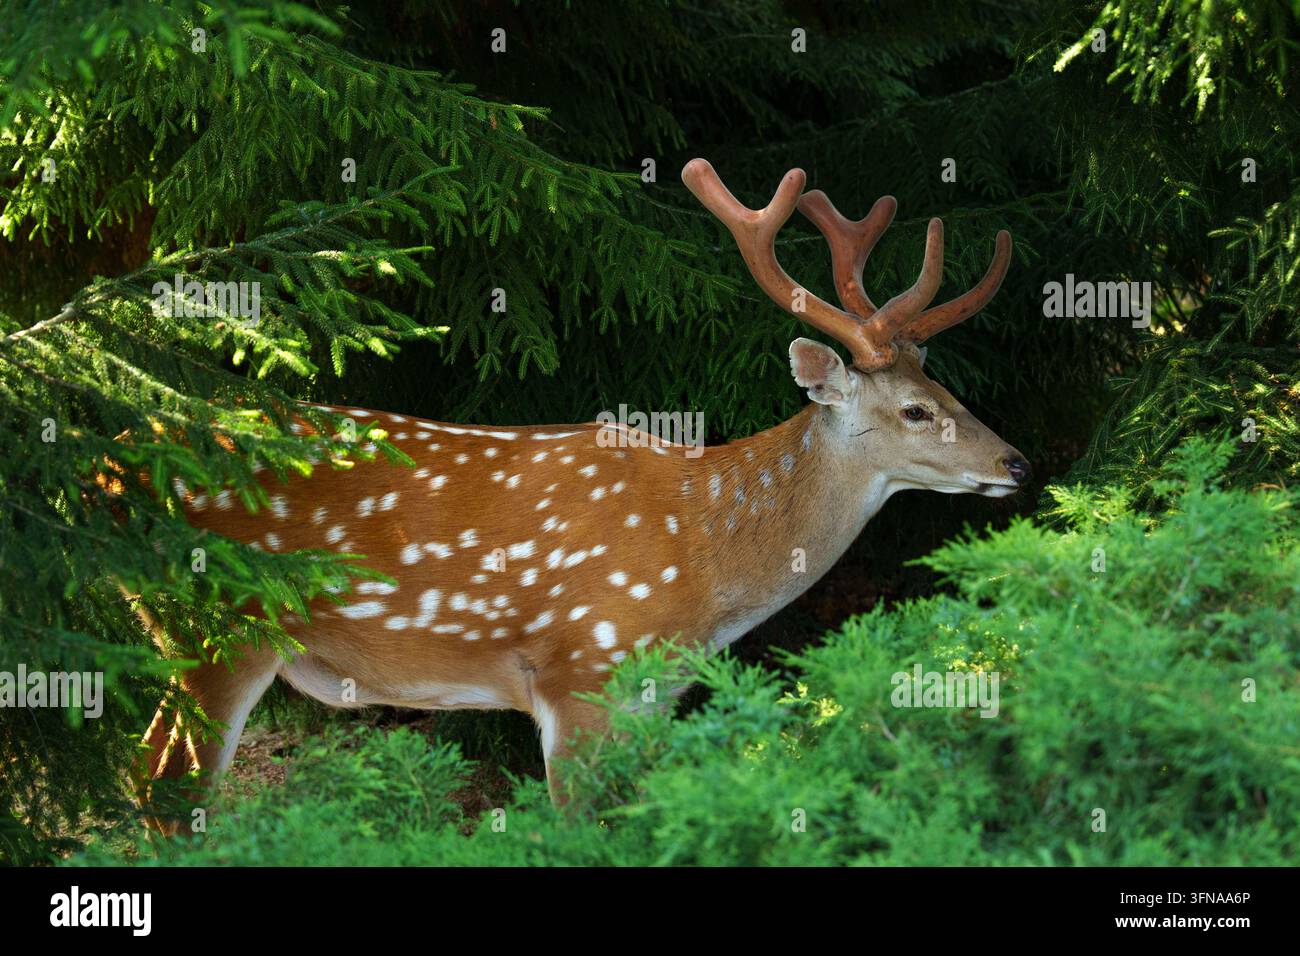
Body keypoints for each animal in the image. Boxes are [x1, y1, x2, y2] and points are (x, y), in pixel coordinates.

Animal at [134, 158, 1028, 822]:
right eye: (915, 409)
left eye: (945, 387)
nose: (1017, 463)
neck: (704, 565)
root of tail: (123, 459)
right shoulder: (580, 671)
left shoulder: (653, 695)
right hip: (216, 628)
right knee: (163, 792)